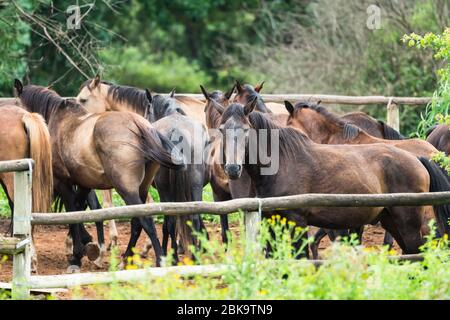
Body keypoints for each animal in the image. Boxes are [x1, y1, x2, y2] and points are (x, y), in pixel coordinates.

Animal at [15, 80, 185, 272]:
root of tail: (139, 125)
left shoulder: (63, 183)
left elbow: (73, 212)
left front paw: (76, 255)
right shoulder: (83, 184)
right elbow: (79, 211)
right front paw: (81, 249)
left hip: (127, 189)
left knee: (145, 221)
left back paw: (158, 259)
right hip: (141, 188)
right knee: (137, 221)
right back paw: (125, 259)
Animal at [209, 99, 450, 256]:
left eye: (246, 129)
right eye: (221, 129)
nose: (232, 168)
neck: (283, 163)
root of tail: (420, 159)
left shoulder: (297, 222)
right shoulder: (272, 222)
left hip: (409, 223)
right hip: (391, 221)